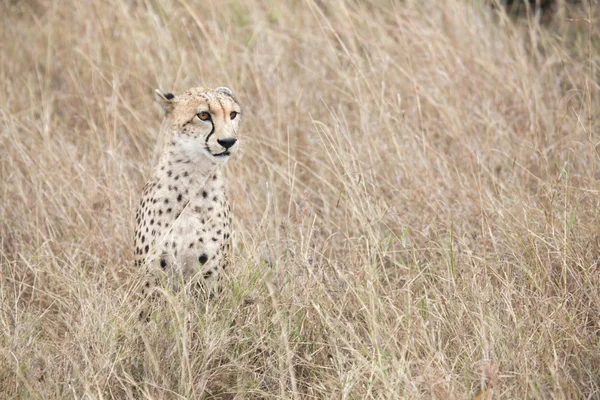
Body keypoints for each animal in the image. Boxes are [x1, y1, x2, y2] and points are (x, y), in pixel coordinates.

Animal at [134, 85, 241, 296]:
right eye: (203, 115)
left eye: (232, 114)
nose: (228, 141)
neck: (193, 176)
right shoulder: (151, 275)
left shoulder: (210, 273)